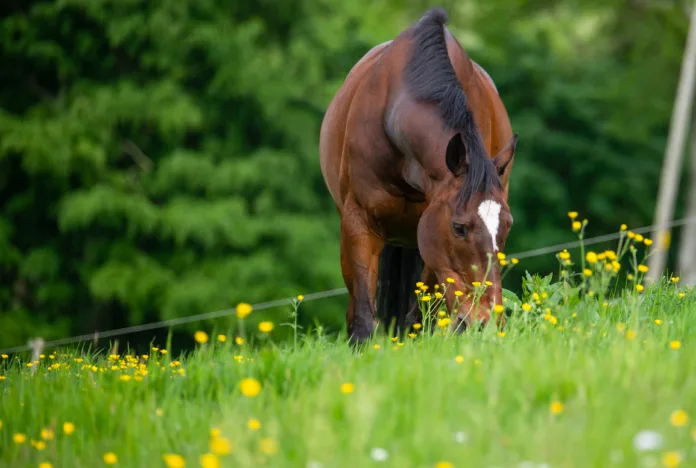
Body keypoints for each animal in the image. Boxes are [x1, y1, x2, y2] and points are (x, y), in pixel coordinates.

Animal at [319, 7, 517, 344]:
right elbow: (362, 318)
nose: (486, 320)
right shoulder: (358, 221)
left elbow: (420, 318)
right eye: (459, 227)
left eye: (506, 226)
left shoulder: (428, 237)